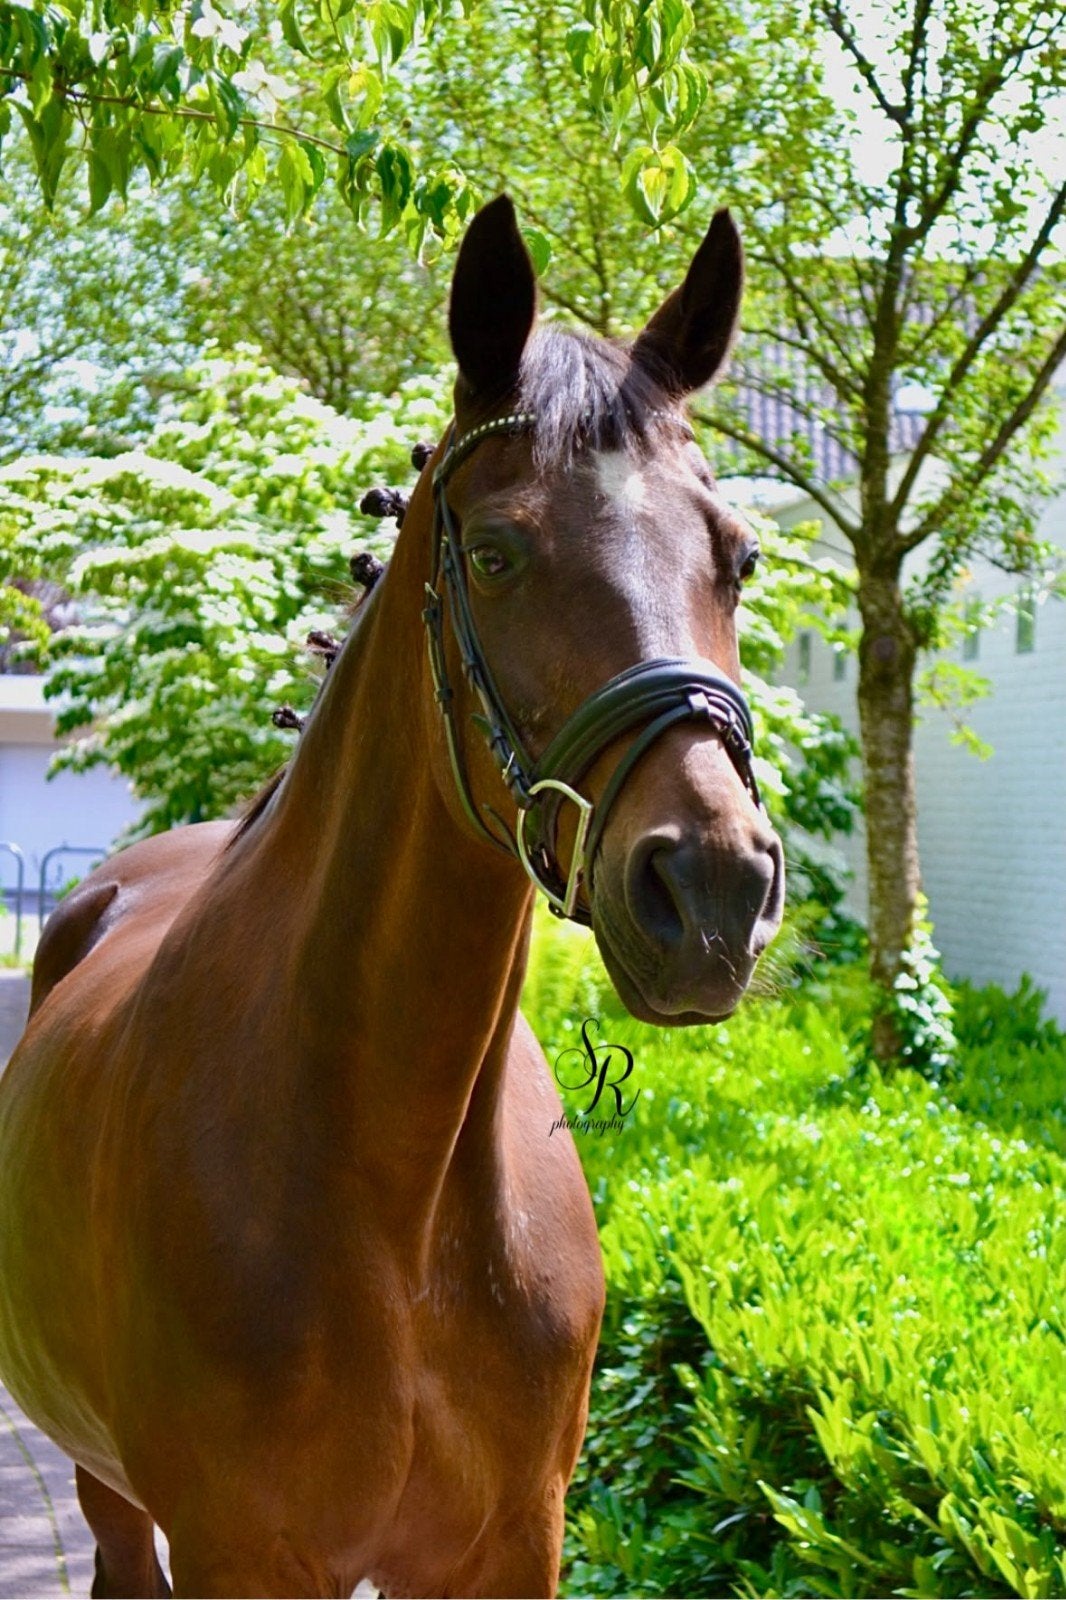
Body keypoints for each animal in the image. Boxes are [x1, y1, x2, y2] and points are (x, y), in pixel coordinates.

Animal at [0, 195, 783, 1598]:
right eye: (495, 551)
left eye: (736, 554)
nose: (709, 886)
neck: (401, 1207)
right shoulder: (242, 1551)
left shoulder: (511, 1544)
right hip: (111, 1496)